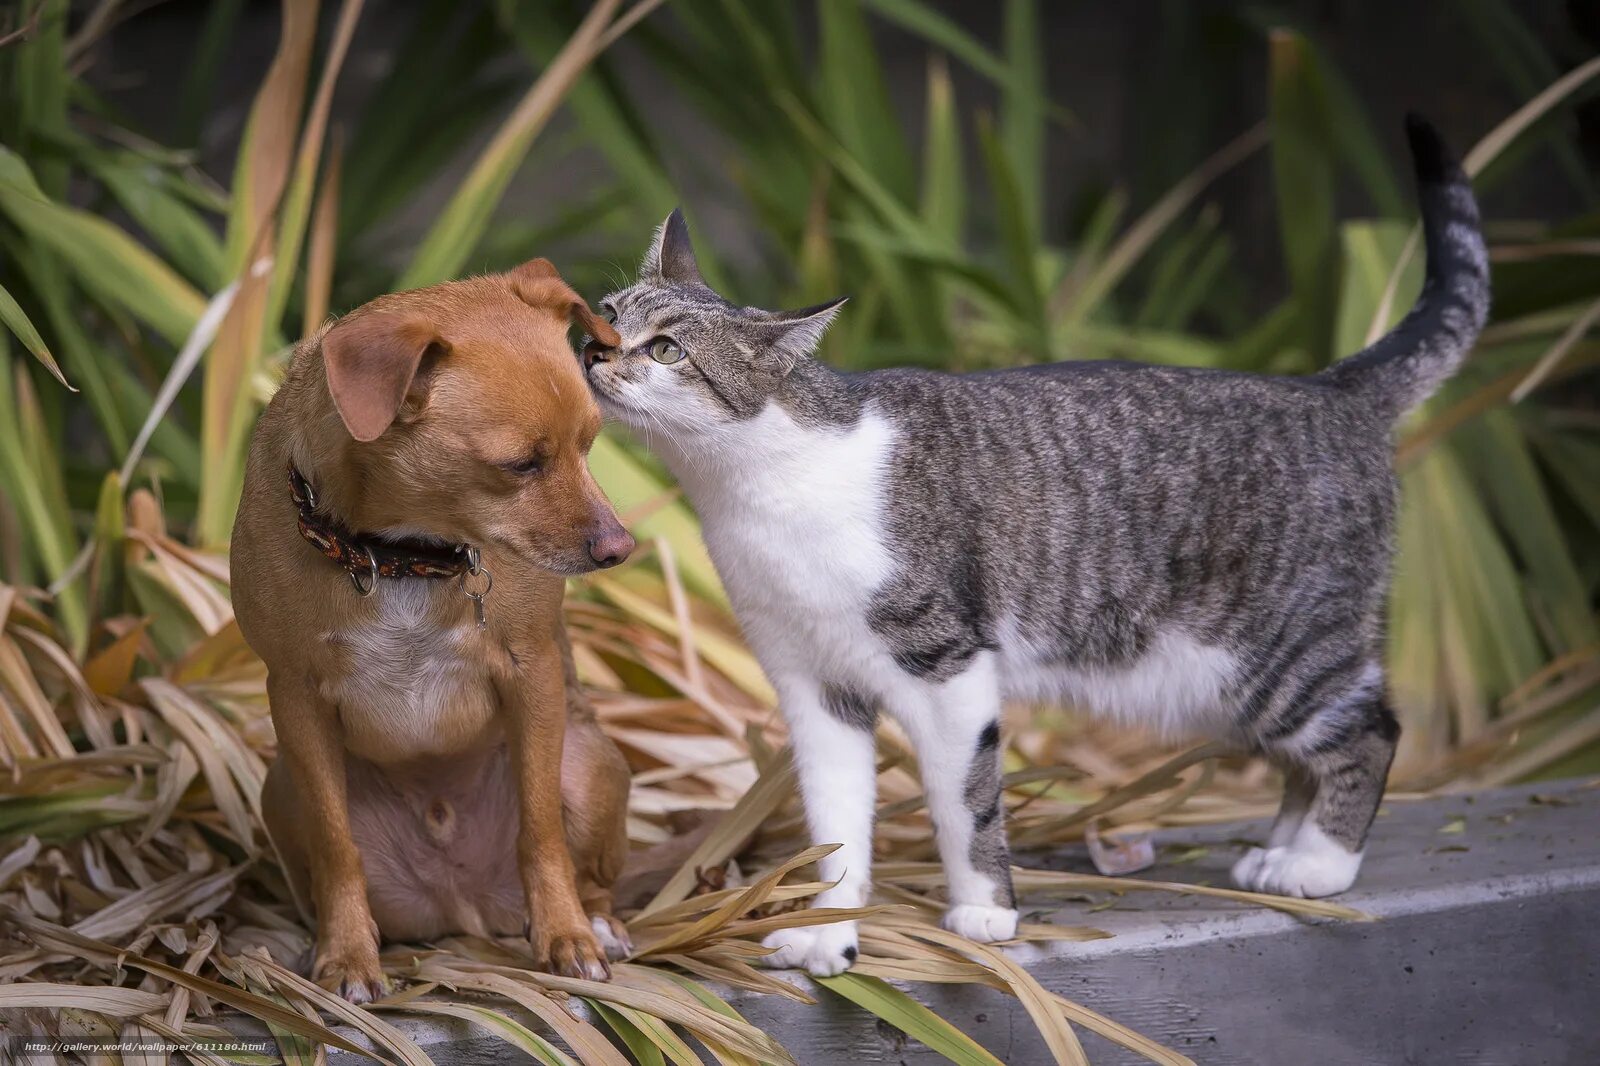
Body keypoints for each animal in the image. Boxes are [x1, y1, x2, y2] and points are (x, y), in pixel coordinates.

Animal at [233, 257, 633, 998]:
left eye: (590, 445)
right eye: (521, 465)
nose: (621, 549)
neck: (402, 557)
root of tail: (462, 908)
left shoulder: (533, 673)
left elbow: (541, 829)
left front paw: (566, 938)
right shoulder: (294, 696)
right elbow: (336, 848)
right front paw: (346, 956)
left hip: (589, 764)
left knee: (582, 862)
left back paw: (598, 924)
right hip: (281, 792)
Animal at [585, 118, 1484, 973]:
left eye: (666, 349)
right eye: (608, 313)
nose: (593, 348)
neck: (759, 483)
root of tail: (1334, 390)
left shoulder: (948, 668)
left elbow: (966, 804)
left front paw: (984, 911)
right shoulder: (813, 685)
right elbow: (834, 822)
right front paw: (827, 933)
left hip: (1276, 651)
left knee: (1370, 731)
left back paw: (1319, 864)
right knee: (1311, 753)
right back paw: (1282, 852)